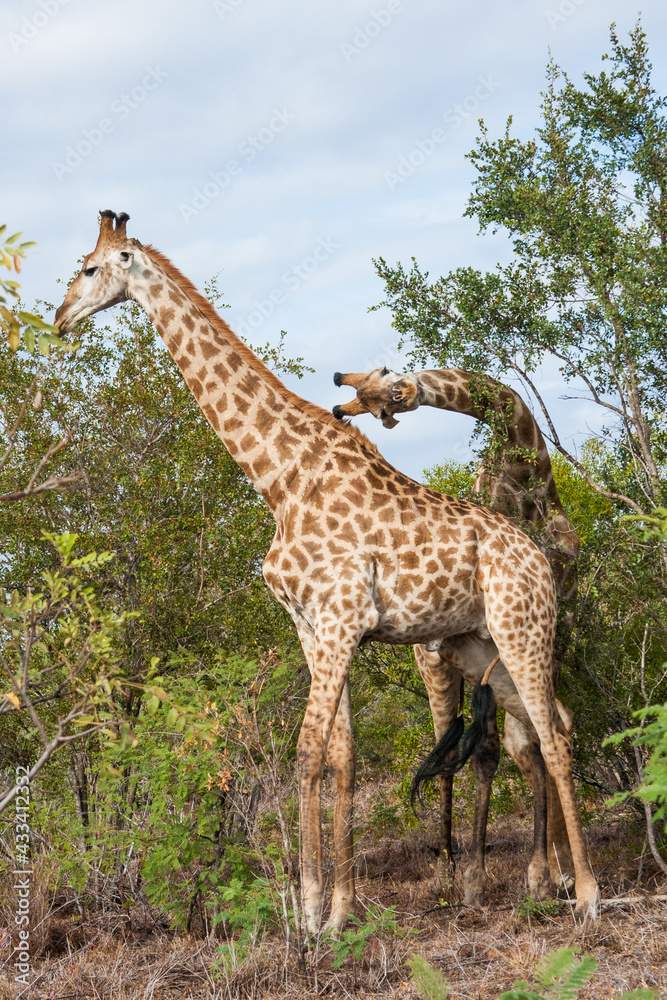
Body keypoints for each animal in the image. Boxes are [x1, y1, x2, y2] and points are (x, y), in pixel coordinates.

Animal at [332, 365, 580, 902]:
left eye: (389, 386)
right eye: (374, 404)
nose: (343, 405)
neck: (528, 482)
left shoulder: (553, 630)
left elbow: (536, 739)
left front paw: (554, 869)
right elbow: (499, 749)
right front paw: (505, 874)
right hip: (437, 668)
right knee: (453, 748)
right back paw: (450, 870)